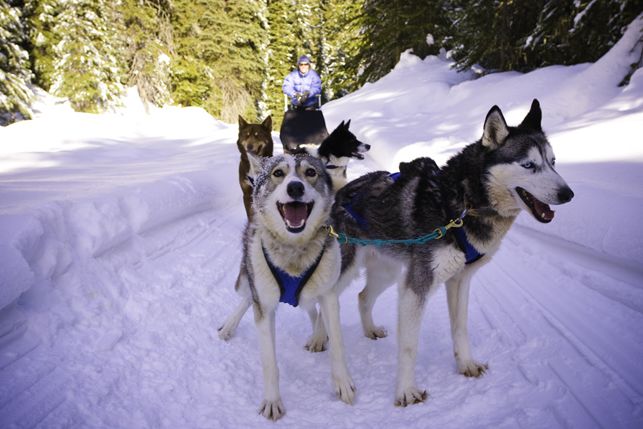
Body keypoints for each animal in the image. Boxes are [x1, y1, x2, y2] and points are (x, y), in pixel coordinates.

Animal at [231, 154, 354, 418]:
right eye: (278, 173)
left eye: (310, 172)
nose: (295, 187)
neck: (293, 250)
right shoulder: (264, 307)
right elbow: (269, 362)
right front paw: (272, 401)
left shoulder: (328, 296)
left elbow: (338, 345)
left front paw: (343, 384)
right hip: (251, 278)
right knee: (247, 297)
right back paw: (228, 327)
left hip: (312, 292)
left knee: (314, 311)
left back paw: (318, 335)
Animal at [332, 99, 572, 404]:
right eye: (529, 165)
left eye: (553, 162)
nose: (568, 194)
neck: (461, 204)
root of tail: (340, 194)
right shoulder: (416, 287)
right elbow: (409, 346)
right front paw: (406, 392)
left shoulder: (460, 279)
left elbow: (460, 327)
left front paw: (466, 364)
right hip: (344, 269)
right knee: (323, 302)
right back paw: (327, 350)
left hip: (387, 272)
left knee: (363, 297)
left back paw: (366, 330)